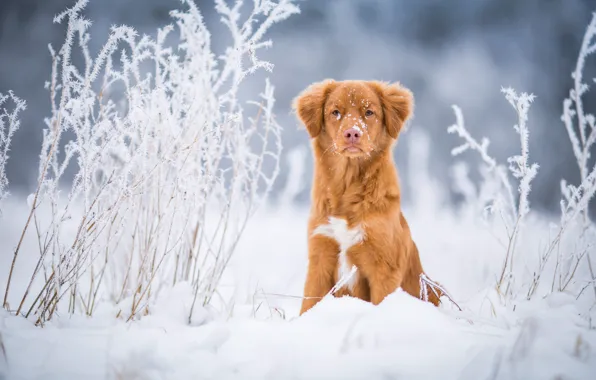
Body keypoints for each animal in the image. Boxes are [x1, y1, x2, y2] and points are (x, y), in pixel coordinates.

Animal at [294, 78, 442, 314]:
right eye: (335, 112)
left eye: (369, 112)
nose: (353, 133)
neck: (347, 186)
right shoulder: (320, 256)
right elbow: (309, 305)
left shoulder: (383, 267)